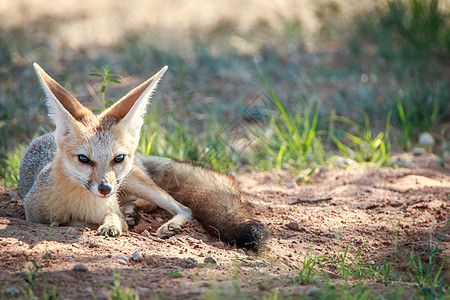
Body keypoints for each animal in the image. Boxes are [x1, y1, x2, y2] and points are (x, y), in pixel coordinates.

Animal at [19, 63, 268, 251]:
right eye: (84, 159)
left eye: (118, 158)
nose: (105, 189)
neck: (85, 204)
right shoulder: (33, 214)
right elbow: (70, 220)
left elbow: (113, 217)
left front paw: (112, 224)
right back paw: (132, 211)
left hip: (137, 182)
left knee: (182, 207)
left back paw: (164, 223)